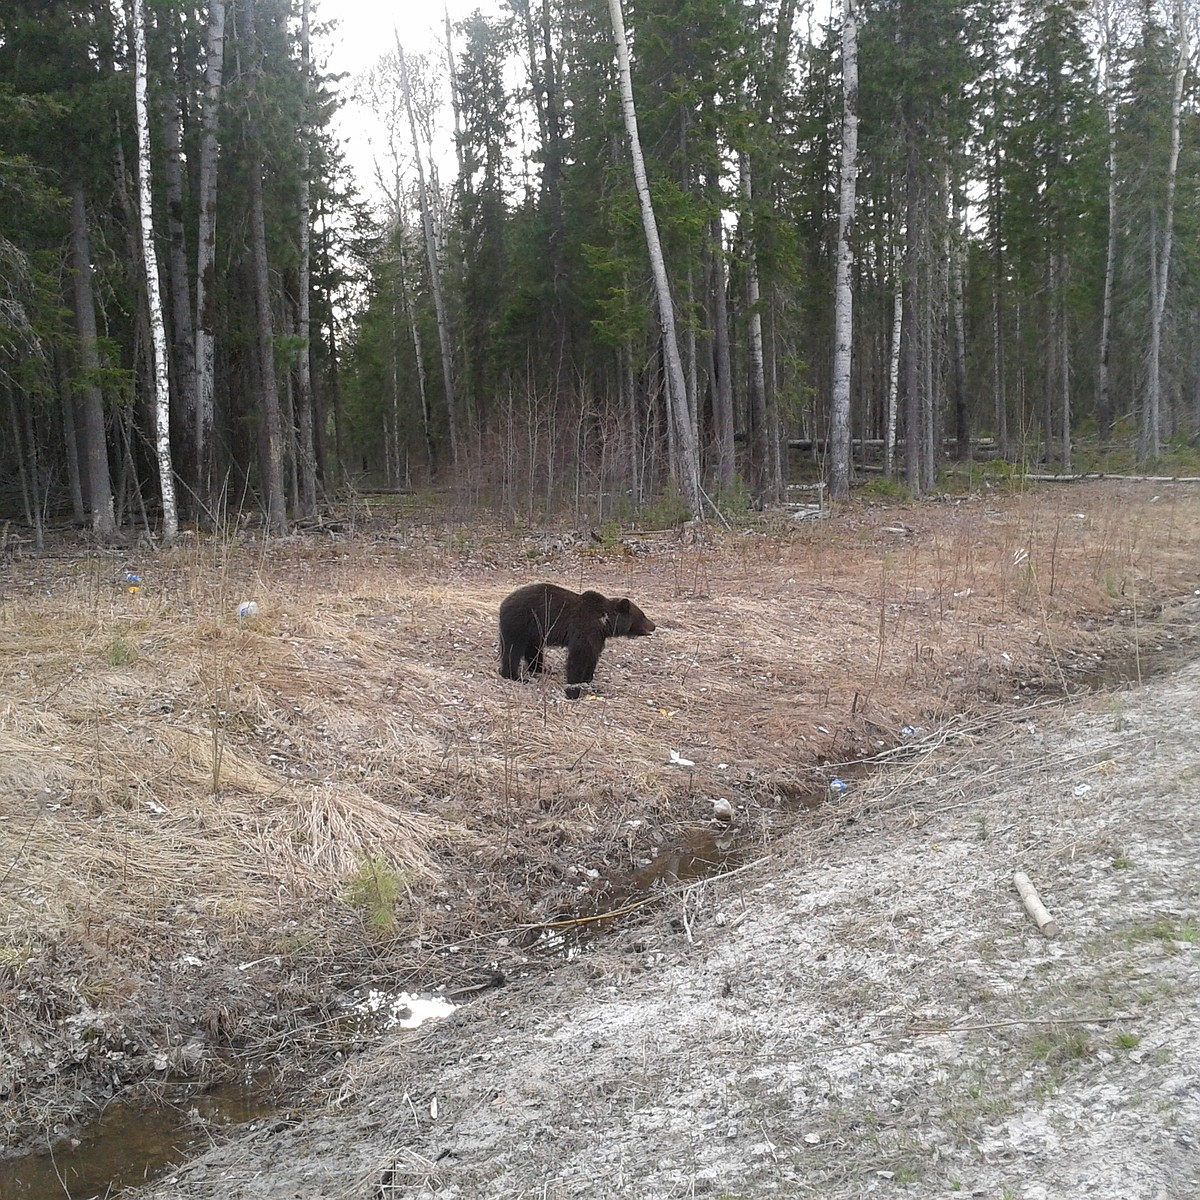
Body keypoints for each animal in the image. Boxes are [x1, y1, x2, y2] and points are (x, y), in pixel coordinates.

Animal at [499, 578, 657, 700]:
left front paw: (587, 680)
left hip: (534, 631)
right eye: (643, 615)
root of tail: (503, 603)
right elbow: (579, 656)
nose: (654, 626)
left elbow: (592, 656)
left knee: (534, 650)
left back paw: (541, 669)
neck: (604, 621)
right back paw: (515, 676)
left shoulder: (598, 636)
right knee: (513, 650)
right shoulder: (584, 628)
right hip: (520, 624)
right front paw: (573, 689)